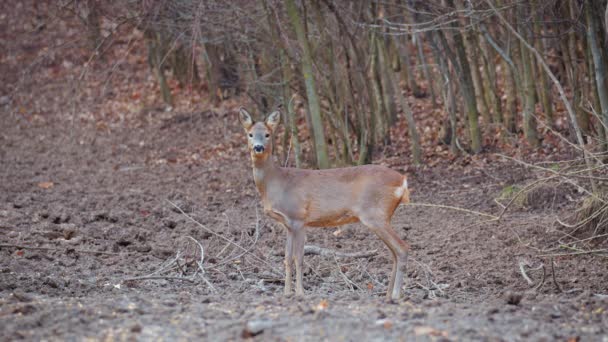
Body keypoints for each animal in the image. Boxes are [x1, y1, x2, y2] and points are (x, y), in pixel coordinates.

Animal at [240, 107, 410, 300]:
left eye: (267, 134)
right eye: (250, 134)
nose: (258, 147)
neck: (276, 183)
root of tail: (403, 180)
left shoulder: (299, 218)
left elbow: (299, 258)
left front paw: (300, 293)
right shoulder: (288, 225)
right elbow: (287, 258)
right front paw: (286, 293)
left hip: (375, 214)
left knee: (402, 248)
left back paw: (395, 295)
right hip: (382, 216)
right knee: (394, 253)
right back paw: (387, 295)